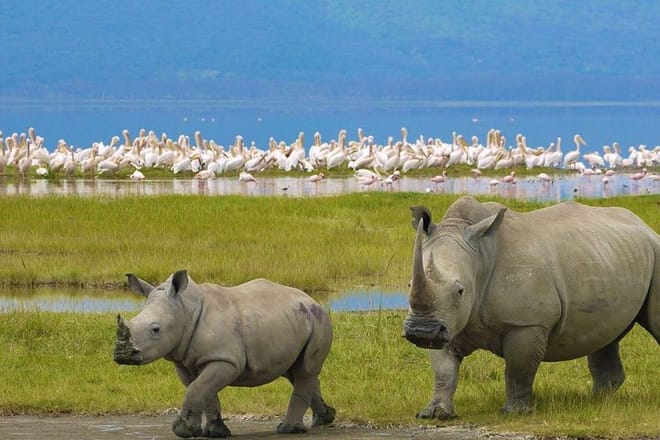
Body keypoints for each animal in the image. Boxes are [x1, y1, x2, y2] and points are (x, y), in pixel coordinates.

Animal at [114, 270, 335, 438]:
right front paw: (213, 432)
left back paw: (288, 429)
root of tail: (311, 299)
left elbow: (197, 389)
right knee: (295, 371)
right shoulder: (186, 361)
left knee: (304, 370)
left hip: (318, 320)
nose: (122, 355)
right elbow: (202, 390)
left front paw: (182, 430)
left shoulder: (224, 359)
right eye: (132, 322)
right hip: (294, 320)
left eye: (156, 329)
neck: (184, 310)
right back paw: (323, 418)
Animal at [403, 195, 659, 418]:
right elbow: (443, 370)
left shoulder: (526, 324)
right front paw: (435, 414)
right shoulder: (447, 322)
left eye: (460, 291)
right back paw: (594, 401)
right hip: (609, 257)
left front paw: (514, 413)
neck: (481, 257)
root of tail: (643, 224)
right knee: (605, 334)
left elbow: (519, 369)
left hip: (655, 250)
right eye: (409, 284)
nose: (421, 331)